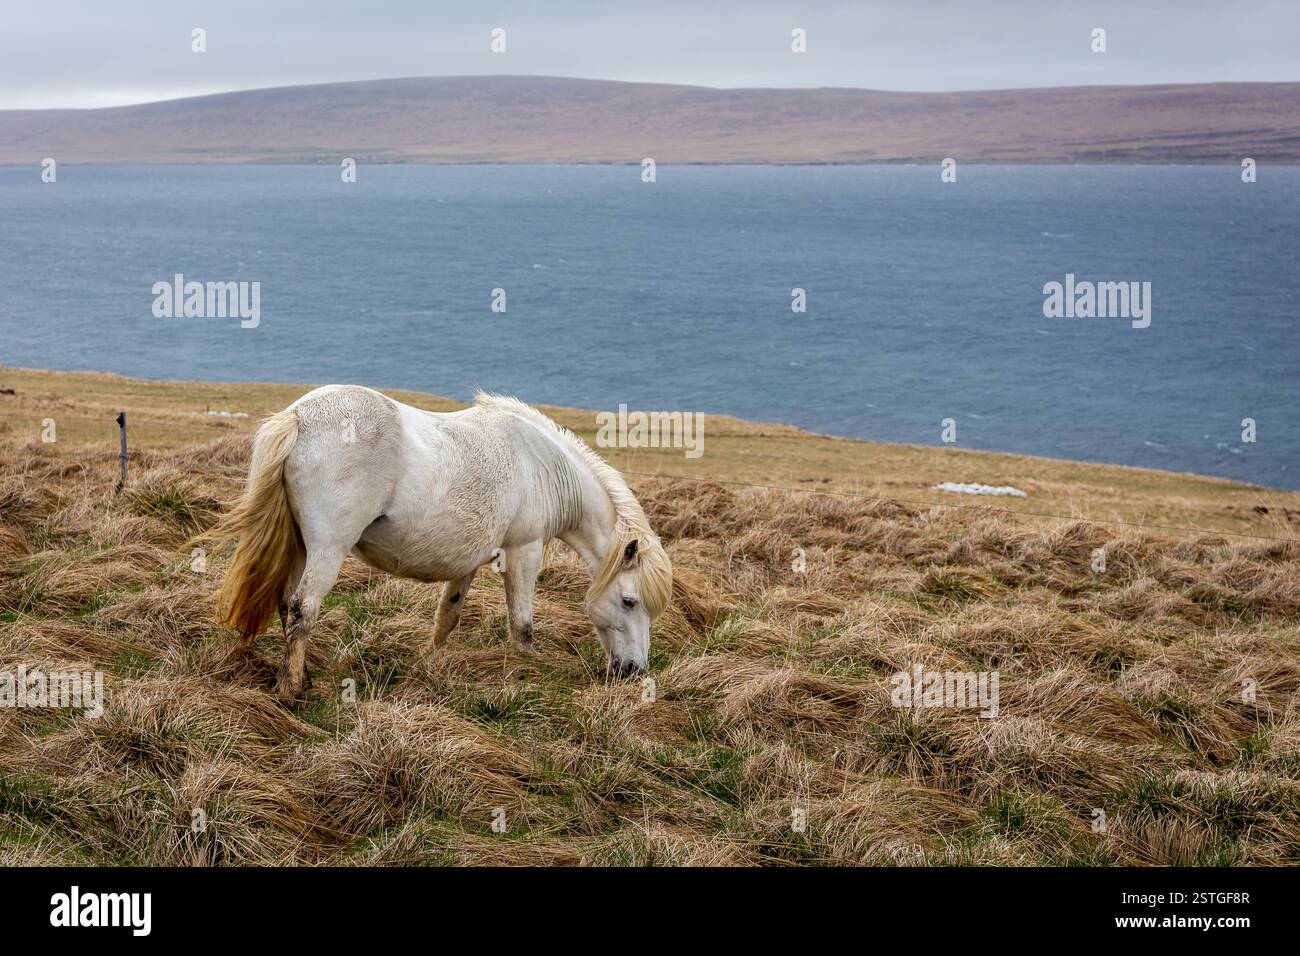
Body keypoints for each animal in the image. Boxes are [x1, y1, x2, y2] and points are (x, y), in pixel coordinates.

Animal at [196, 385, 673, 702]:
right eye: (629, 601)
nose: (634, 671)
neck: (541, 465)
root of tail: (299, 417)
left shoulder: (469, 561)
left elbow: (449, 616)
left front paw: (430, 666)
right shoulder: (524, 549)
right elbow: (522, 623)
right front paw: (525, 673)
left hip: (298, 545)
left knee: (285, 604)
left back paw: (301, 678)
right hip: (327, 549)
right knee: (302, 609)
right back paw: (292, 691)